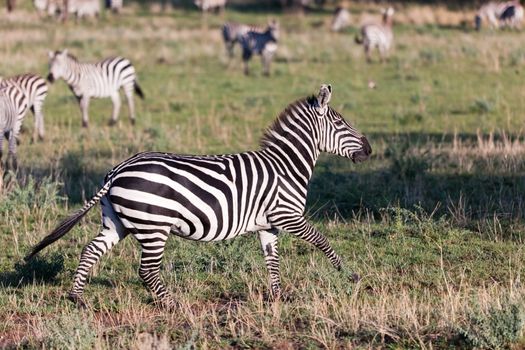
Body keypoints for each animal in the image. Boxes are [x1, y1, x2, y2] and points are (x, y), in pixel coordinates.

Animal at [26, 83, 372, 308]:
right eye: (341, 123)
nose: (369, 150)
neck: (285, 165)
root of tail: (118, 170)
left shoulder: (269, 224)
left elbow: (272, 261)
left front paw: (278, 296)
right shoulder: (288, 216)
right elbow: (322, 241)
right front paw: (350, 275)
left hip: (117, 222)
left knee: (90, 250)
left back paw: (77, 298)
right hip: (153, 227)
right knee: (147, 270)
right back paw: (172, 305)